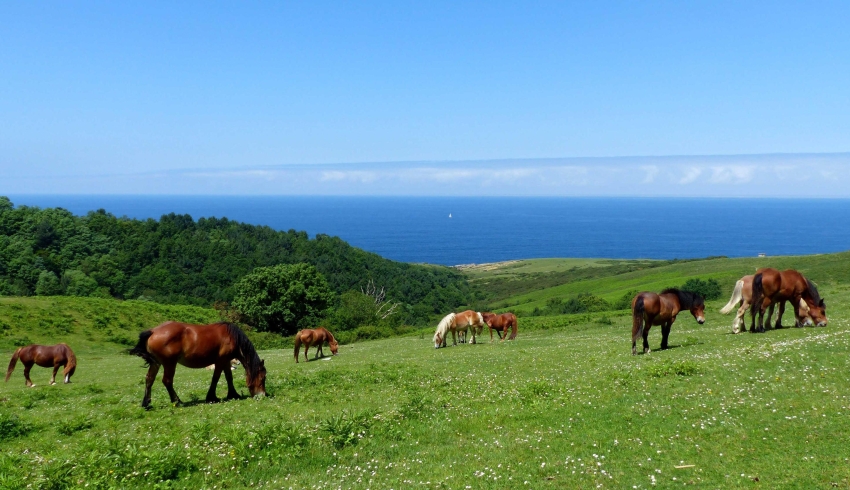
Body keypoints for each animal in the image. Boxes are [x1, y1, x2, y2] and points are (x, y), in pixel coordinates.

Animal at [129, 322, 264, 410]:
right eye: (263, 378)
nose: (262, 395)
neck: (232, 337)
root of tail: (153, 331)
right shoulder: (220, 361)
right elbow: (215, 378)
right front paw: (212, 397)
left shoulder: (226, 361)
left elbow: (229, 378)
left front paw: (233, 394)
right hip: (169, 363)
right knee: (167, 381)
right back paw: (177, 401)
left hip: (156, 363)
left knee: (149, 379)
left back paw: (146, 403)